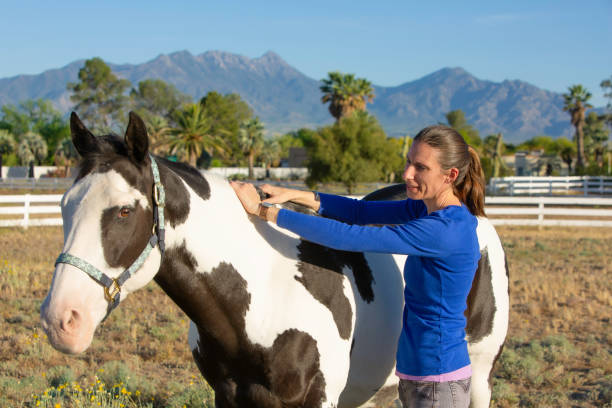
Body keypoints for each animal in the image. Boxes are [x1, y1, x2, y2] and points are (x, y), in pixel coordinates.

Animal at [39, 112, 506, 408]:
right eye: (63, 205)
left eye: (123, 211)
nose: (61, 320)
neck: (264, 296)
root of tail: (475, 214)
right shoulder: (228, 398)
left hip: (478, 378)